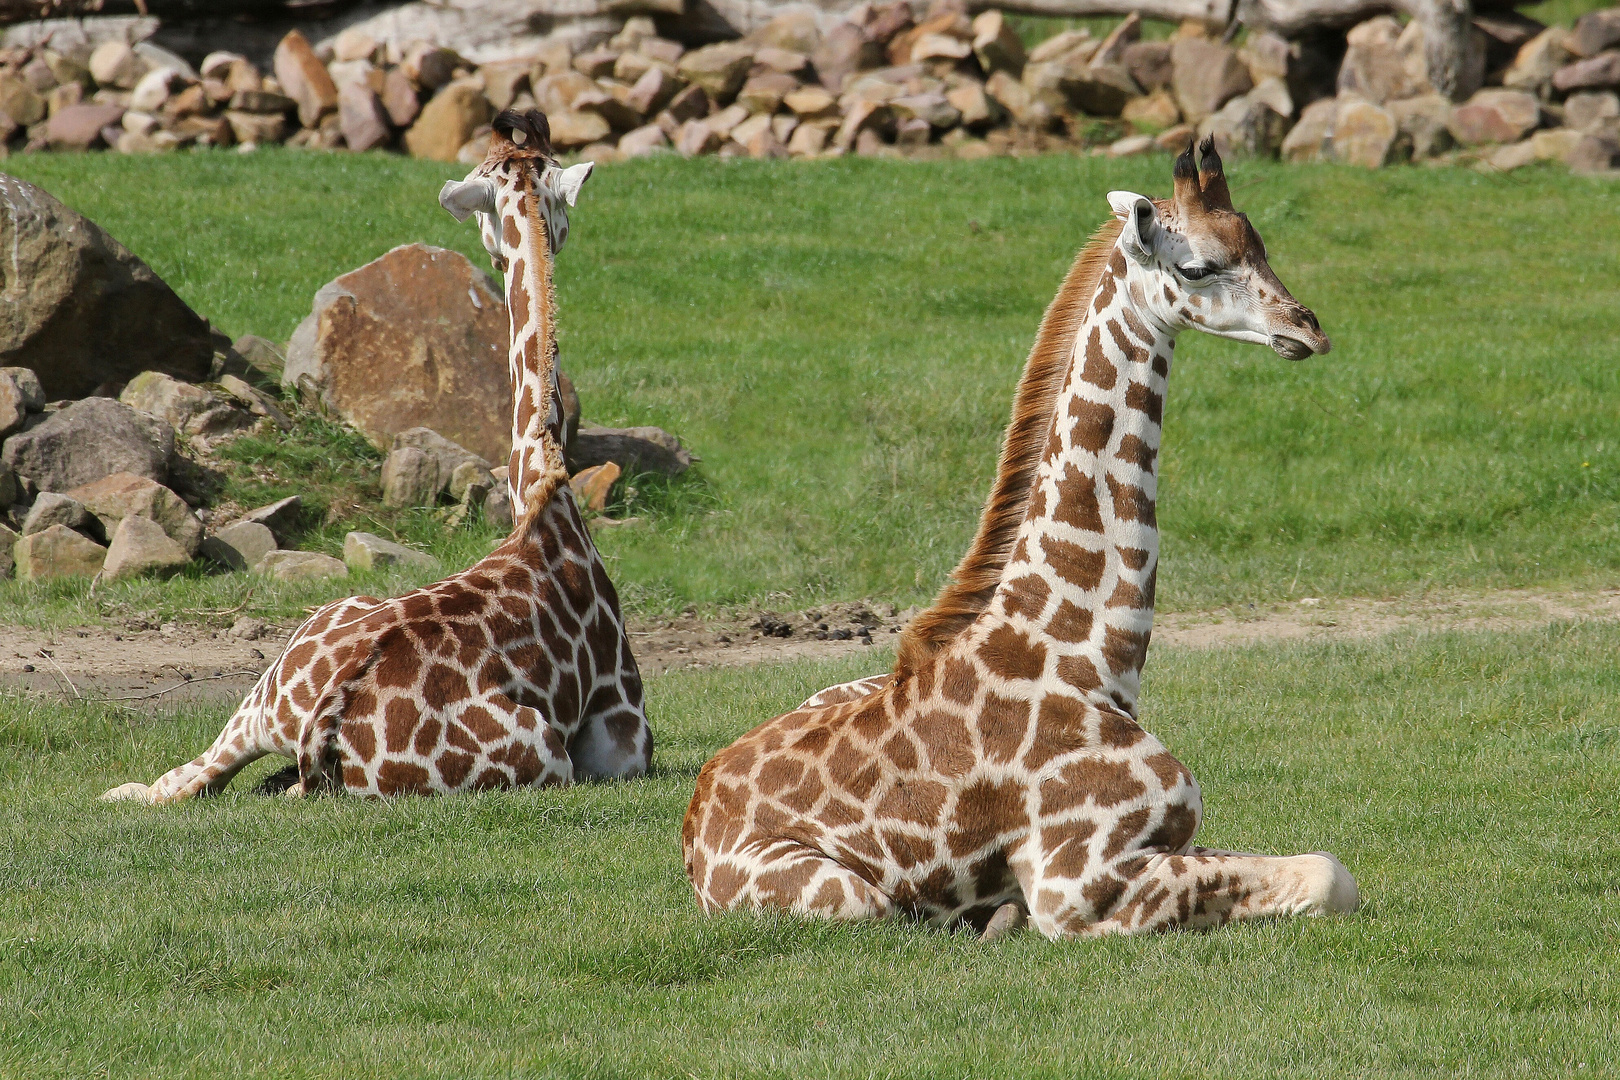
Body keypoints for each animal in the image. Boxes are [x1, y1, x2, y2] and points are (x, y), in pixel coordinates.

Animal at [102, 111, 651, 803]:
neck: (543, 493)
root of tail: (326, 723)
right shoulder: (624, 741)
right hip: (545, 753)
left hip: (262, 697)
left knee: (169, 785)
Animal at [683, 141, 1354, 939]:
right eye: (1198, 266)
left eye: (1262, 247)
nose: (1308, 329)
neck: (1092, 656)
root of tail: (692, 823)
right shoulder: (1077, 879)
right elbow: (1330, 875)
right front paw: (1004, 918)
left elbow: (1324, 867)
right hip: (848, 898)